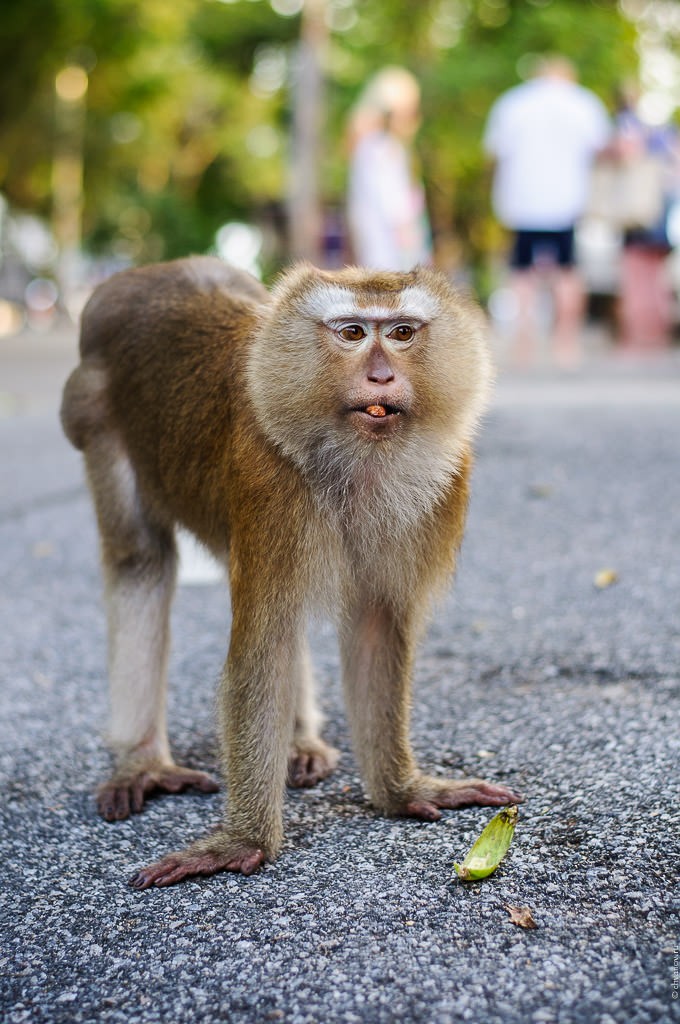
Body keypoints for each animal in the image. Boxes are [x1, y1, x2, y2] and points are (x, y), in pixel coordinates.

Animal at [61, 256, 522, 888]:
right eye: (352, 333)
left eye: (402, 333)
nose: (381, 376)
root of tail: (150, 273)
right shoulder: (268, 484)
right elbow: (264, 646)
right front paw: (245, 841)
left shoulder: (444, 484)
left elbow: (374, 624)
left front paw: (402, 791)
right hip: (93, 412)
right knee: (139, 559)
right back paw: (143, 762)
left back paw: (299, 741)